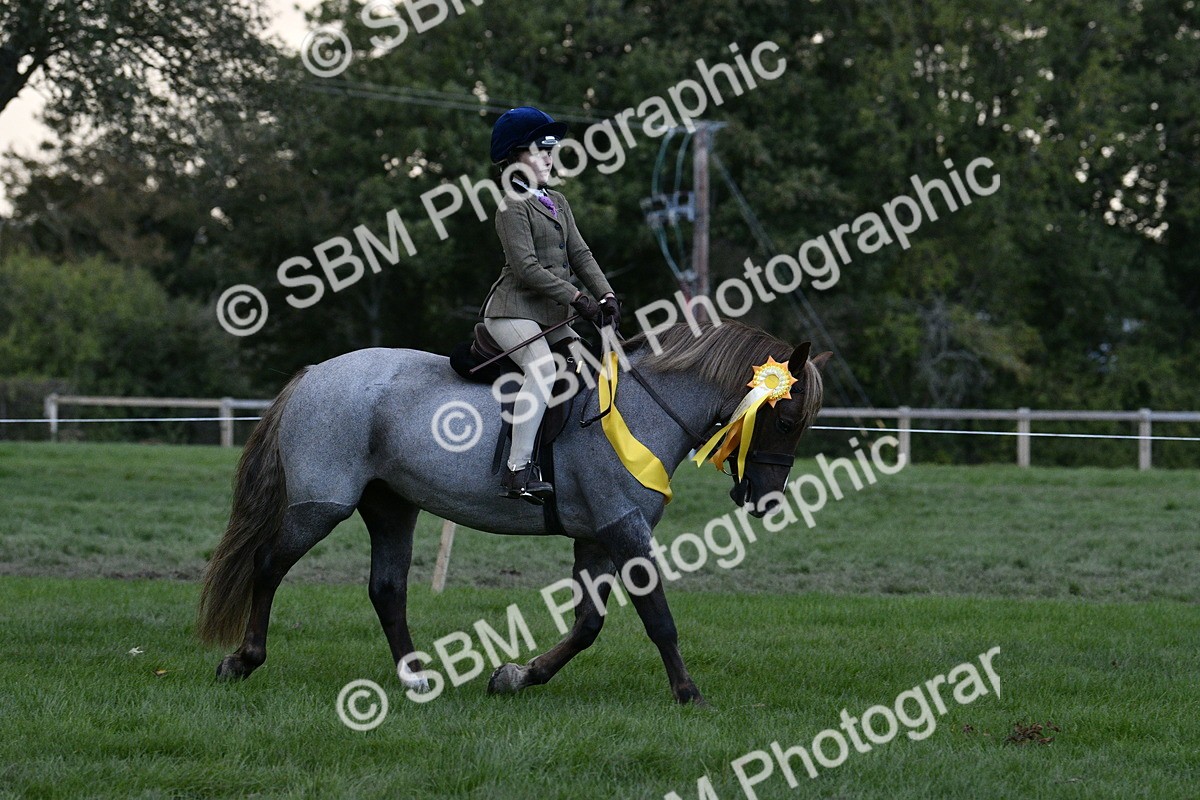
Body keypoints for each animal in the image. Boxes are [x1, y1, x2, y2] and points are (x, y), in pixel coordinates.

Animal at [197, 320, 829, 705]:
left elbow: (587, 625)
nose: (766, 500)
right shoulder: (624, 530)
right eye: (785, 418)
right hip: (321, 506)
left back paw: (416, 678)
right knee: (266, 565)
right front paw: (688, 692)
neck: (644, 410)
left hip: (392, 507)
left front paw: (516, 676)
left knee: (387, 590)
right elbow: (658, 619)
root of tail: (314, 374)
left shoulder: (597, 538)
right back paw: (243, 660)